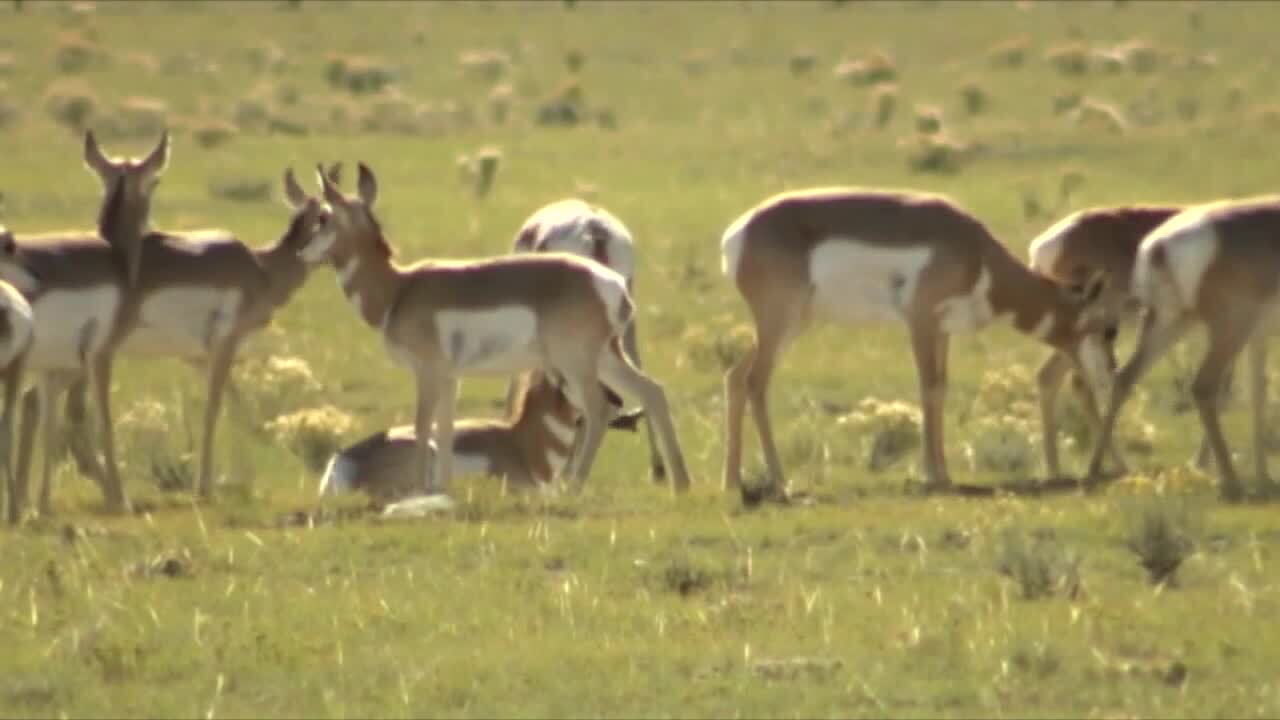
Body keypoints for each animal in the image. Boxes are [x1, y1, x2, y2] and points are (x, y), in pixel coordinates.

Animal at [721, 188, 1115, 499]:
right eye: (1107, 328)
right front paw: (932, 475)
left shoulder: (942, 330)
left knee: (735, 376)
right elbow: (928, 387)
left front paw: (944, 474)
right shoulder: (921, 322)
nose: (1109, 375)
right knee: (756, 381)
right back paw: (779, 481)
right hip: (780, 323)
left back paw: (733, 482)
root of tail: (738, 233)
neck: (975, 252)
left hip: (791, 325)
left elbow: (940, 389)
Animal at [1088, 196, 1280, 501]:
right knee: (1204, 386)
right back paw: (1231, 483)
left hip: (1169, 325)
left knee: (1124, 378)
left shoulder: (1259, 339)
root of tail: (1159, 247)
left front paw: (1265, 478)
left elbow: (1258, 394)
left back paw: (1094, 473)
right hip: (1227, 331)